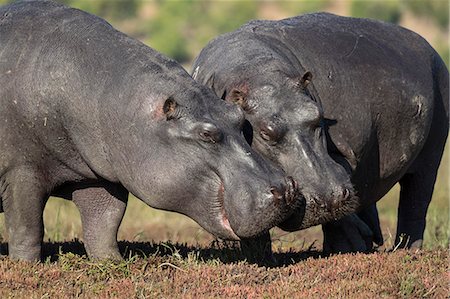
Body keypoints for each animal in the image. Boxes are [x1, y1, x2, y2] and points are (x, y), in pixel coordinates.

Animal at [1, 0, 302, 262]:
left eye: (238, 117)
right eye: (206, 134)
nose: (285, 188)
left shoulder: (98, 177)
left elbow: (105, 222)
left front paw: (112, 264)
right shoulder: (20, 172)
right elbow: (27, 228)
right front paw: (26, 266)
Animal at [192, 12, 448, 253]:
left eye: (318, 116)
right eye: (265, 133)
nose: (328, 196)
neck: (256, 70)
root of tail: (430, 48)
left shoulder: (346, 154)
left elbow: (339, 215)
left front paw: (348, 247)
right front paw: (259, 257)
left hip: (431, 154)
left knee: (416, 202)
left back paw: (406, 251)